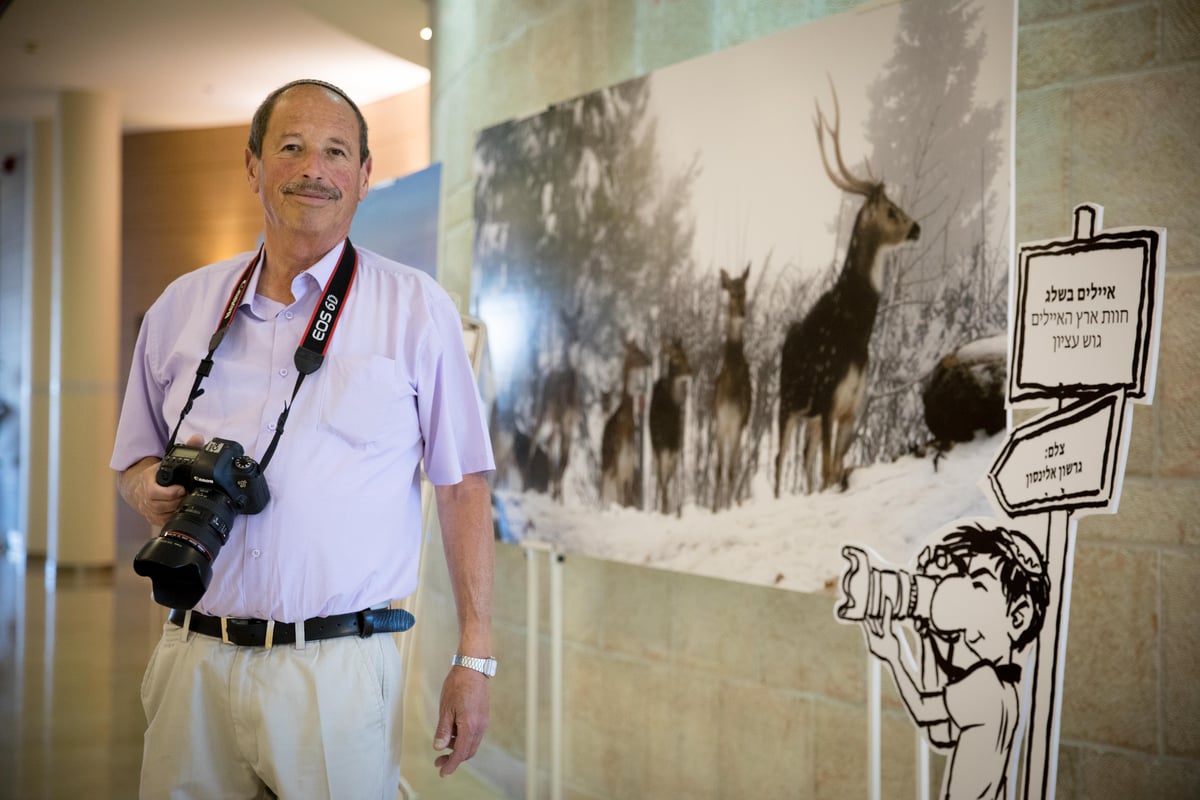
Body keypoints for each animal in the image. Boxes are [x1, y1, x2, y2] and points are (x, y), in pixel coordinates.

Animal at [530, 309, 580, 501]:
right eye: (567, 325)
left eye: (579, 327)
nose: (575, 340)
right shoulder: (560, 420)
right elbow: (560, 457)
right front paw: (557, 493)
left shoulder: (570, 424)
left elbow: (565, 458)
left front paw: (560, 496)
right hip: (544, 410)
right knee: (535, 438)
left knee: (549, 444)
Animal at [597, 335, 648, 506]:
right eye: (635, 351)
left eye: (640, 347)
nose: (649, 359)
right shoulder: (618, 464)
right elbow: (620, 497)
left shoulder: (629, 468)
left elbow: (626, 498)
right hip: (607, 466)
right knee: (604, 491)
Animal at [772, 89, 921, 501]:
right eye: (891, 210)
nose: (917, 227)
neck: (855, 336)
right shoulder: (827, 399)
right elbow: (828, 472)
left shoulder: (851, 406)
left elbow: (835, 471)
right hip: (787, 401)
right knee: (779, 459)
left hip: (806, 414)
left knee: (805, 459)